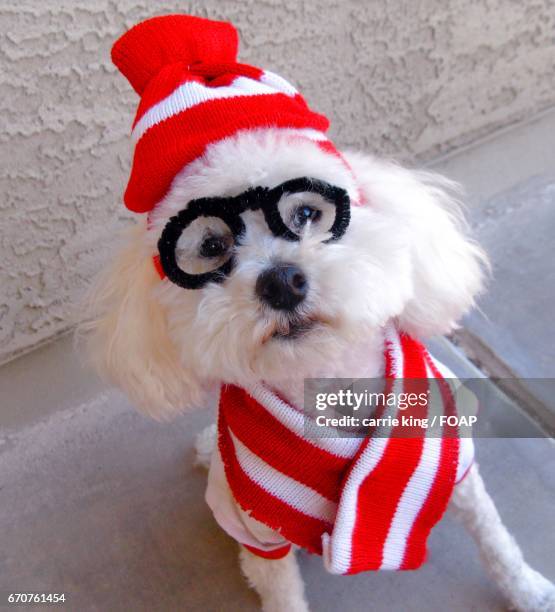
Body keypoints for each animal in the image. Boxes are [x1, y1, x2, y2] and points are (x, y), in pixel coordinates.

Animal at [83, 13, 555, 612]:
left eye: (307, 213)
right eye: (212, 246)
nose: (281, 282)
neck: (332, 386)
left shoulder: (457, 467)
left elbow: (496, 539)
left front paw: (528, 589)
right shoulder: (257, 532)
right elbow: (282, 592)